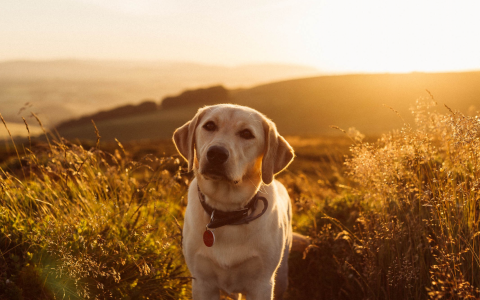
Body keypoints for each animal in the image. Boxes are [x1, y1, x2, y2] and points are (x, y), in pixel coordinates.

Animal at [172, 104, 292, 298]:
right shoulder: (202, 283)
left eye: (246, 133)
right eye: (209, 125)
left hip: (281, 276)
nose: (216, 153)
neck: (226, 212)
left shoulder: (261, 285)